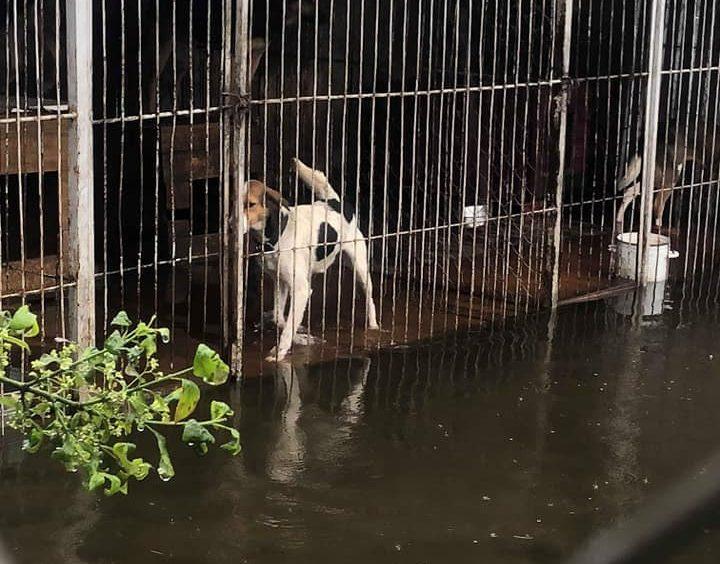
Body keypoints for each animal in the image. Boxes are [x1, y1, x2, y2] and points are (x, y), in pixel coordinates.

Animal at [245, 159, 380, 362]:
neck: (278, 233)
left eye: (251, 204)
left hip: (361, 269)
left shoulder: (301, 289)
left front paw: (280, 351)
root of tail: (334, 202)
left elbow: (288, 325)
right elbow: (280, 318)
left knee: (370, 299)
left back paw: (373, 325)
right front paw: (300, 336)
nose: (230, 223)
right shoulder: (281, 281)